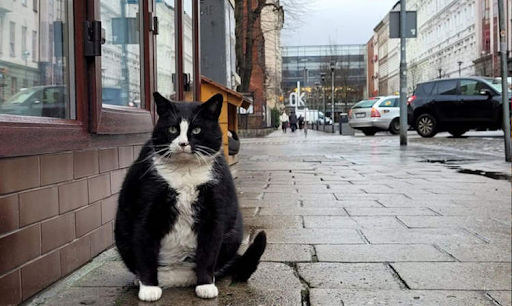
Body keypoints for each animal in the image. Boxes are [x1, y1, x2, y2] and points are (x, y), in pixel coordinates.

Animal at [115, 92, 268, 302]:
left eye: (196, 130)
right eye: (172, 129)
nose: (182, 143)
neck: (185, 172)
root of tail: (176, 279)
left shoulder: (214, 210)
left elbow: (209, 251)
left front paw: (205, 284)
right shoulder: (145, 208)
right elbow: (144, 247)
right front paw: (149, 288)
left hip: (234, 233)